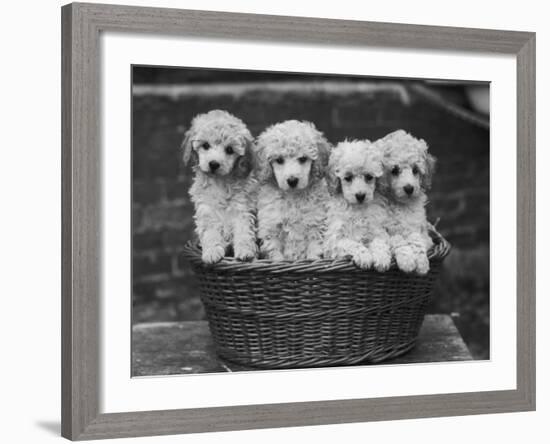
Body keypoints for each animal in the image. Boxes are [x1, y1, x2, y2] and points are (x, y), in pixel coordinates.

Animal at [182, 109, 258, 266]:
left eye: (229, 149)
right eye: (205, 145)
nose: (214, 164)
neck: (220, 182)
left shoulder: (242, 208)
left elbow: (243, 230)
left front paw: (246, 252)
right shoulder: (206, 210)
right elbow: (210, 233)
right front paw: (212, 252)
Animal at [256, 119, 330, 262]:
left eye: (303, 159)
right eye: (279, 160)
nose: (292, 180)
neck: (293, 196)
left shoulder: (315, 223)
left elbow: (314, 248)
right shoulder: (271, 226)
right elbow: (275, 252)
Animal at [326, 140, 394, 270]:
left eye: (369, 177)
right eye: (348, 177)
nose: (360, 195)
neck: (358, 209)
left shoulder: (377, 229)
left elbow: (380, 241)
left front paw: (382, 258)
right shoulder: (335, 240)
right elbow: (352, 244)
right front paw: (365, 257)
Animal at [378, 129, 438, 274]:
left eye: (415, 170)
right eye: (394, 170)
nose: (409, 188)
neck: (401, 205)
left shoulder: (421, 230)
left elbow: (416, 239)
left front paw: (422, 263)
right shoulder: (385, 230)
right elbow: (397, 239)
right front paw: (407, 261)